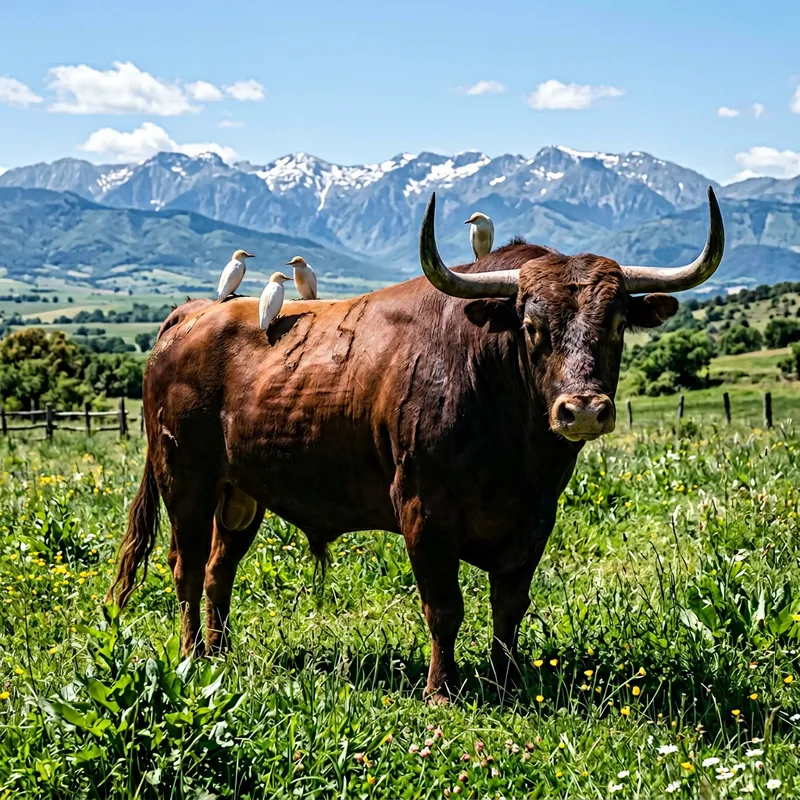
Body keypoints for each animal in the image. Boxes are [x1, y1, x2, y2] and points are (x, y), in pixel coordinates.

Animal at [109, 189, 724, 703]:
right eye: (531, 325)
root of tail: (193, 313)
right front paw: (440, 690)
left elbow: (509, 607)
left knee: (219, 568)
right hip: (183, 478)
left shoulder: (535, 519)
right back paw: (191, 657)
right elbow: (443, 607)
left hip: (240, 493)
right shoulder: (424, 513)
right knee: (186, 567)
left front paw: (506, 682)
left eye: (617, 324)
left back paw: (219, 654)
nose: (584, 409)